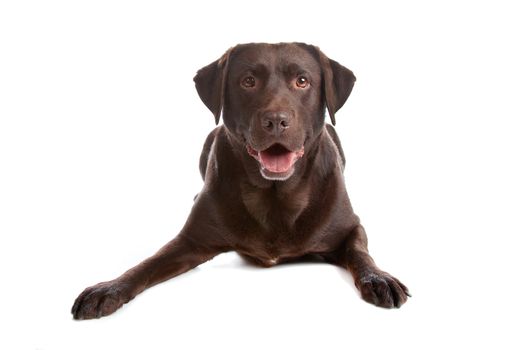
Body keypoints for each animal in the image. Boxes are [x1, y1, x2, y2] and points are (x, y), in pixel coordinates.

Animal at [72, 41, 410, 320]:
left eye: (302, 81)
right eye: (248, 81)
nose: (276, 121)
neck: (275, 195)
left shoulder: (350, 227)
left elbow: (360, 252)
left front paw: (379, 278)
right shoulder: (191, 240)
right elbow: (148, 263)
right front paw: (109, 288)